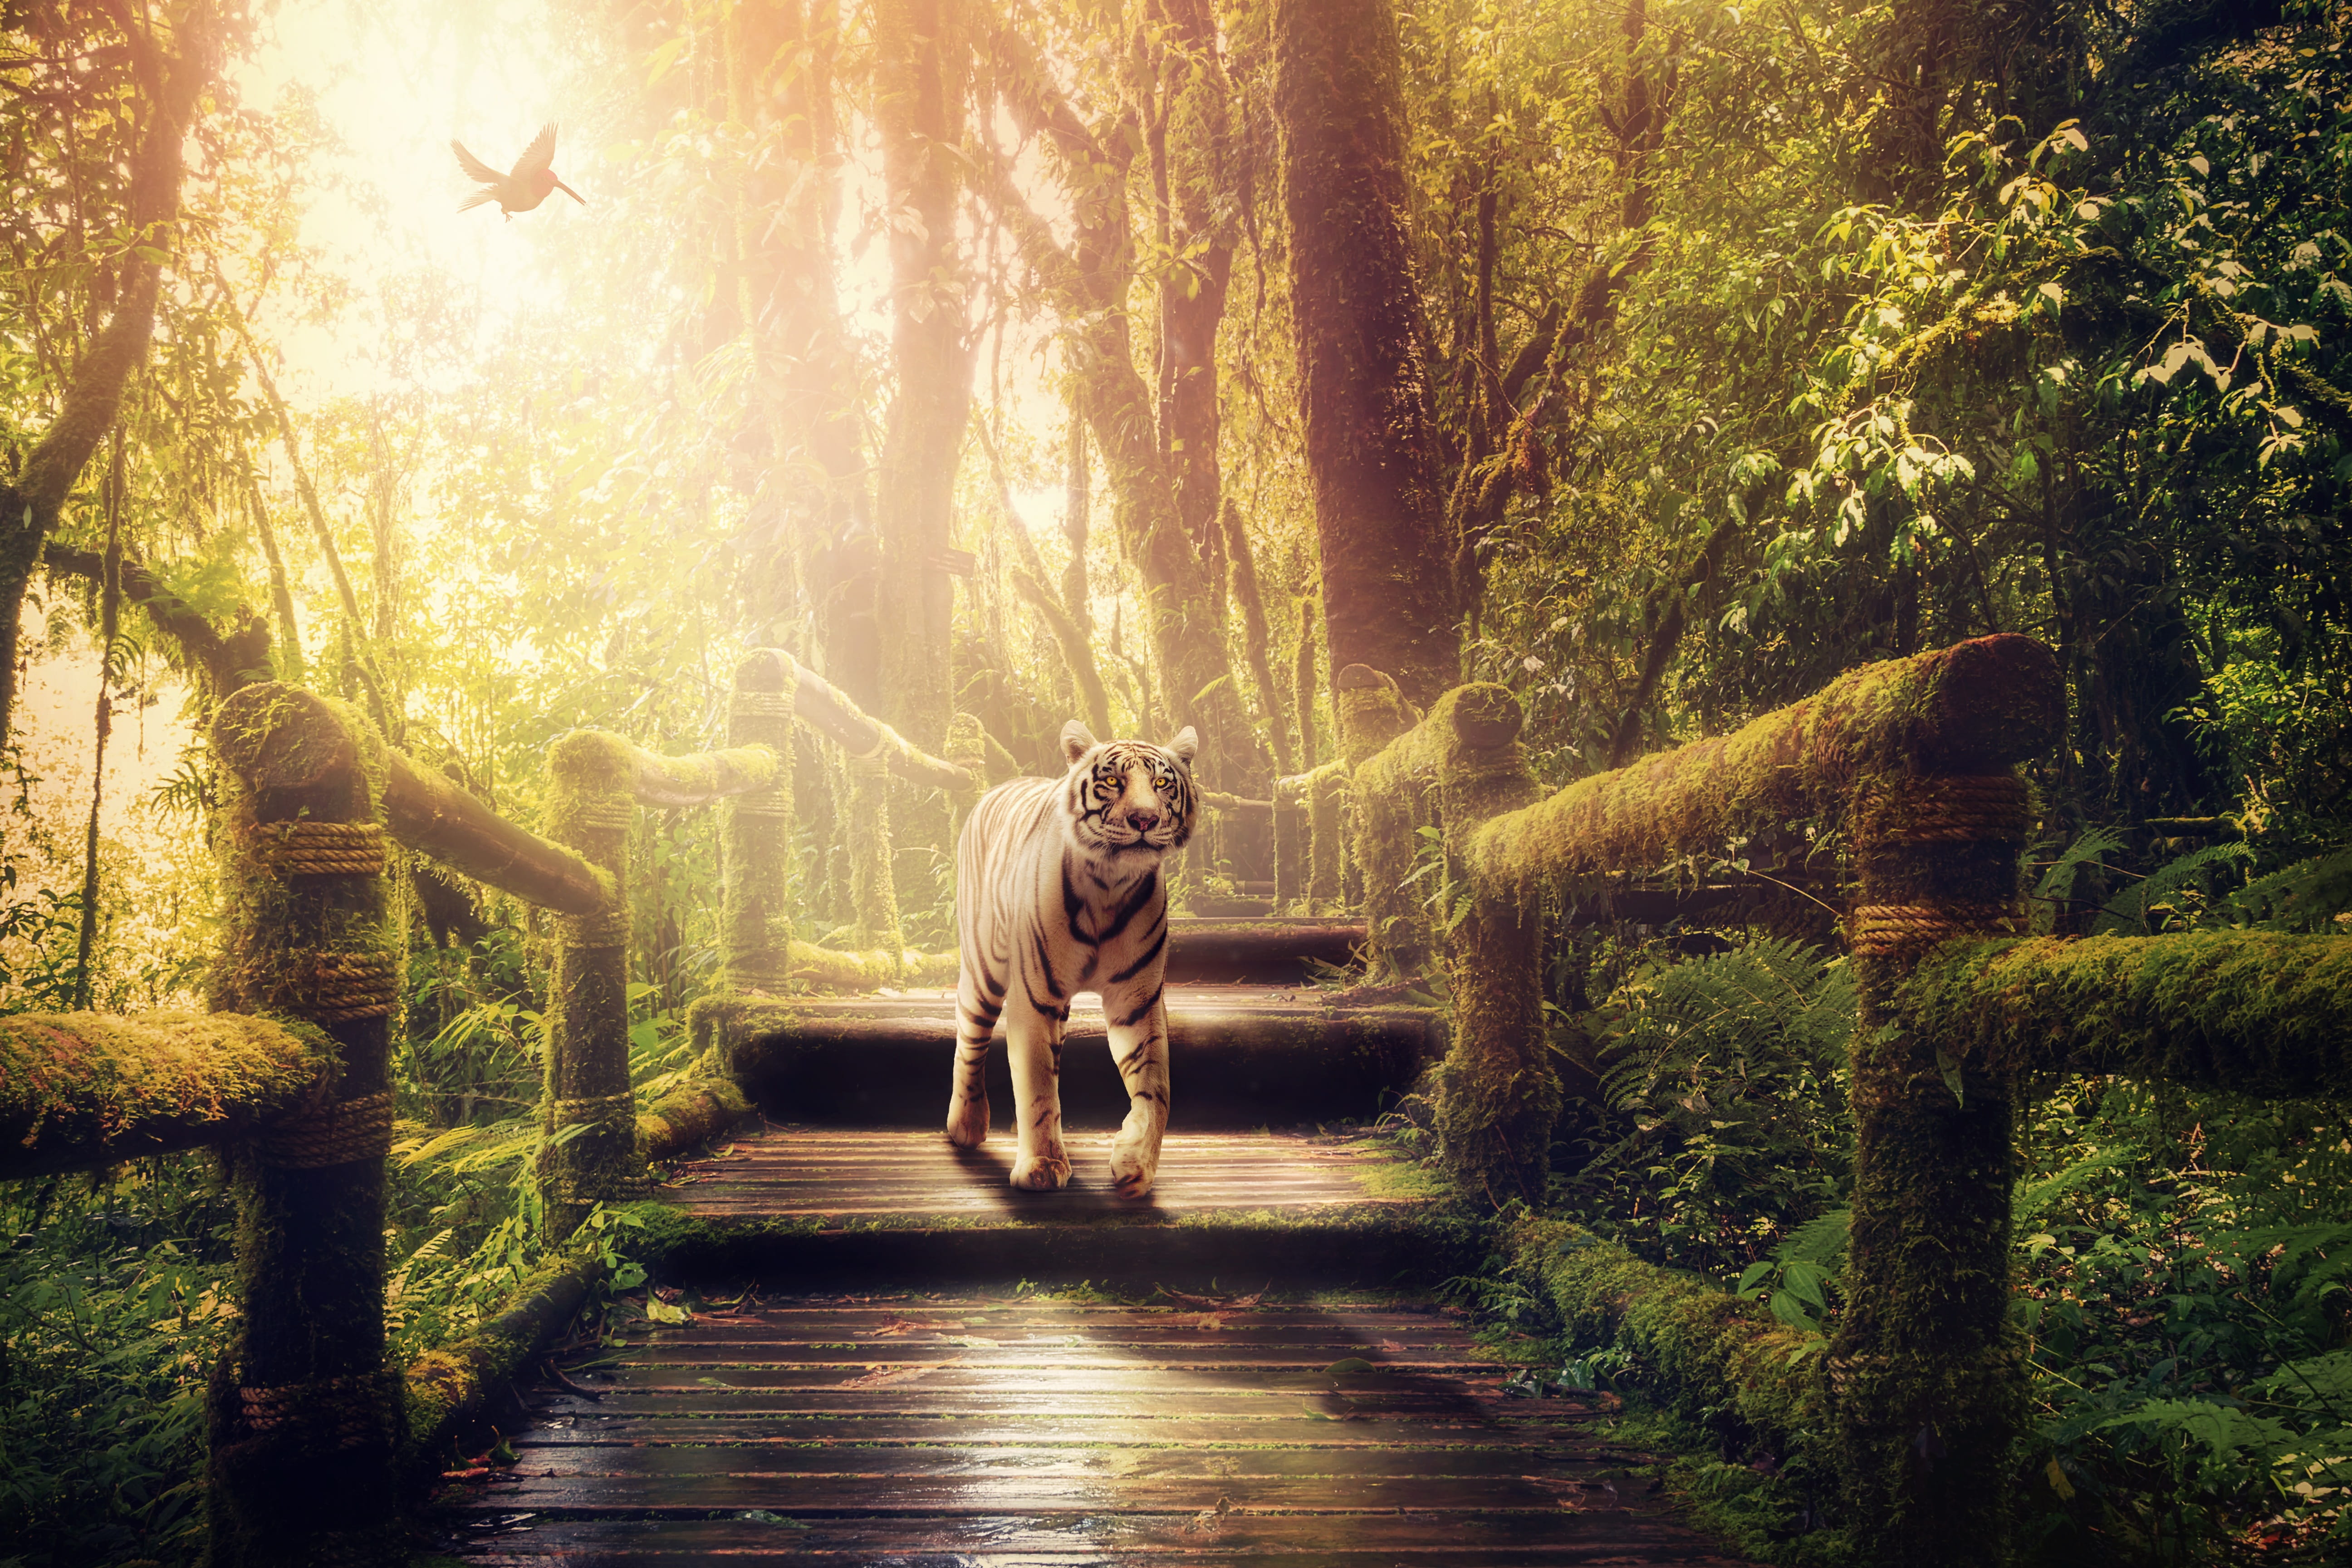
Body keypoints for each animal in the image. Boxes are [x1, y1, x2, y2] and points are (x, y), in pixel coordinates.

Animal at [946, 720, 1198, 1196]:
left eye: (1161, 784)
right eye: (1113, 781)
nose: (1145, 820)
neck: (1111, 883)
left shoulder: (1138, 1002)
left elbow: (1157, 1087)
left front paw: (1136, 1164)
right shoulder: (1034, 996)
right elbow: (1038, 1083)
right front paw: (1043, 1166)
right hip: (985, 972)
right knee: (970, 1041)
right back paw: (966, 1125)